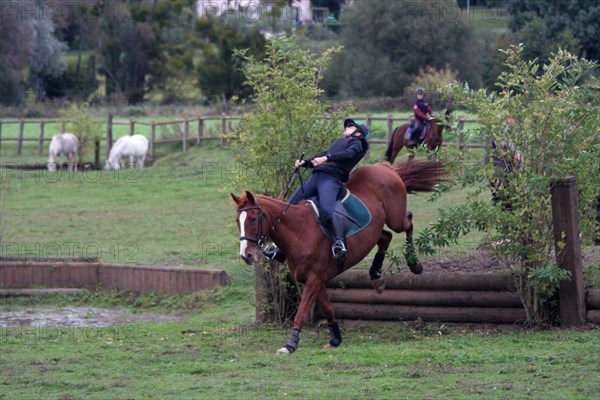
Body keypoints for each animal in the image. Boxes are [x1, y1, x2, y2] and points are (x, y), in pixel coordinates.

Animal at [232, 159, 448, 354]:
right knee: (386, 237)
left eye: (253, 219)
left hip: (396, 218)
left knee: (408, 222)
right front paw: (335, 339)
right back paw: (376, 276)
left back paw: (414, 264)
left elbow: (302, 311)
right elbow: (328, 308)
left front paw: (290, 344)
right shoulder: (314, 280)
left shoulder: (314, 279)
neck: (299, 230)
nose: (246, 255)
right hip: (375, 229)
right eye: (237, 221)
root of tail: (384, 167)